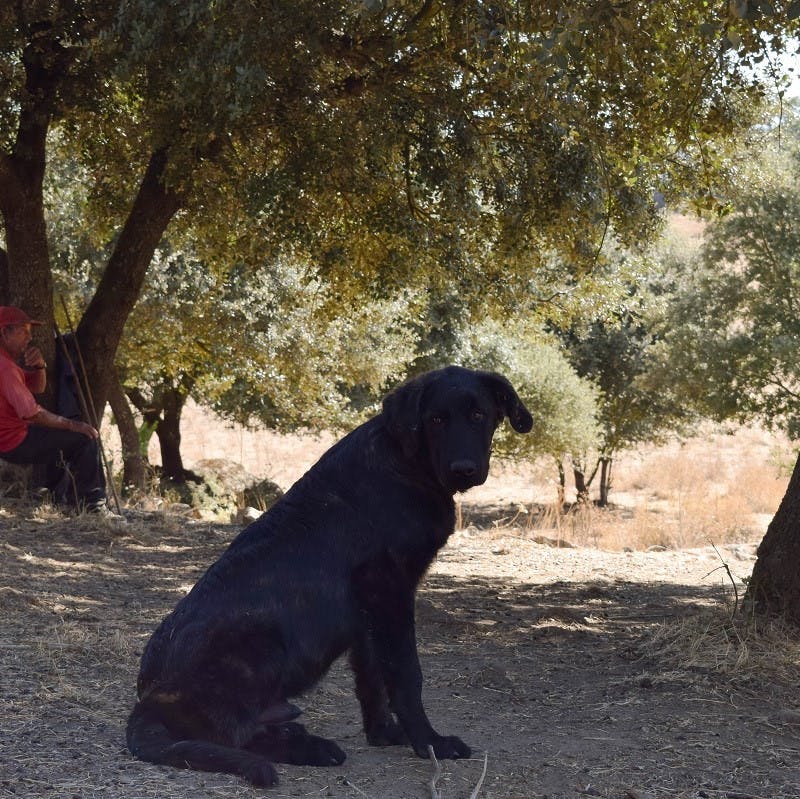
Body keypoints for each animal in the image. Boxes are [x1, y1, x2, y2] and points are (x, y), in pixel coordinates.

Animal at [126, 368, 532, 788]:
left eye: (479, 415)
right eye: (436, 419)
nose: (463, 469)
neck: (406, 464)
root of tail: (147, 702)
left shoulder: (370, 610)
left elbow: (372, 677)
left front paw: (384, 734)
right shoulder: (391, 591)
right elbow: (405, 674)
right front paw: (429, 743)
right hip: (258, 640)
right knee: (234, 734)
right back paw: (310, 749)